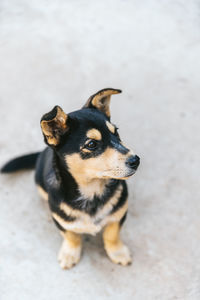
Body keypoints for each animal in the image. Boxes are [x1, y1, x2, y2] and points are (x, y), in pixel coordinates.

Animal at [1, 88, 140, 270]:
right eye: (91, 144)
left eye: (116, 132)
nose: (136, 160)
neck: (92, 192)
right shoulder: (63, 223)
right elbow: (71, 236)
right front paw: (69, 254)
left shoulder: (118, 214)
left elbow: (112, 235)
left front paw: (118, 253)